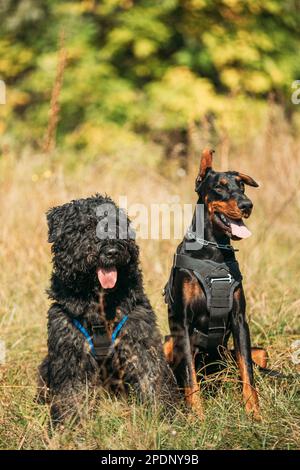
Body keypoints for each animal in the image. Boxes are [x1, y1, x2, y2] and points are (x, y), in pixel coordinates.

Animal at [38, 194, 173, 422]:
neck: (99, 301)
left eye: (117, 225)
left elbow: (151, 380)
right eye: (86, 227)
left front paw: (161, 417)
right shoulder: (70, 353)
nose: (111, 251)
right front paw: (71, 425)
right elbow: (71, 394)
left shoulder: (140, 341)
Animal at [164, 149, 264, 420]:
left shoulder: (240, 320)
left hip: (249, 353)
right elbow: (189, 375)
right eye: (219, 187)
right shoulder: (183, 323)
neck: (214, 253)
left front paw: (254, 413)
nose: (247, 205)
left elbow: (247, 372)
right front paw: (197, 416)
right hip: (168, 342)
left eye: (242, 186)